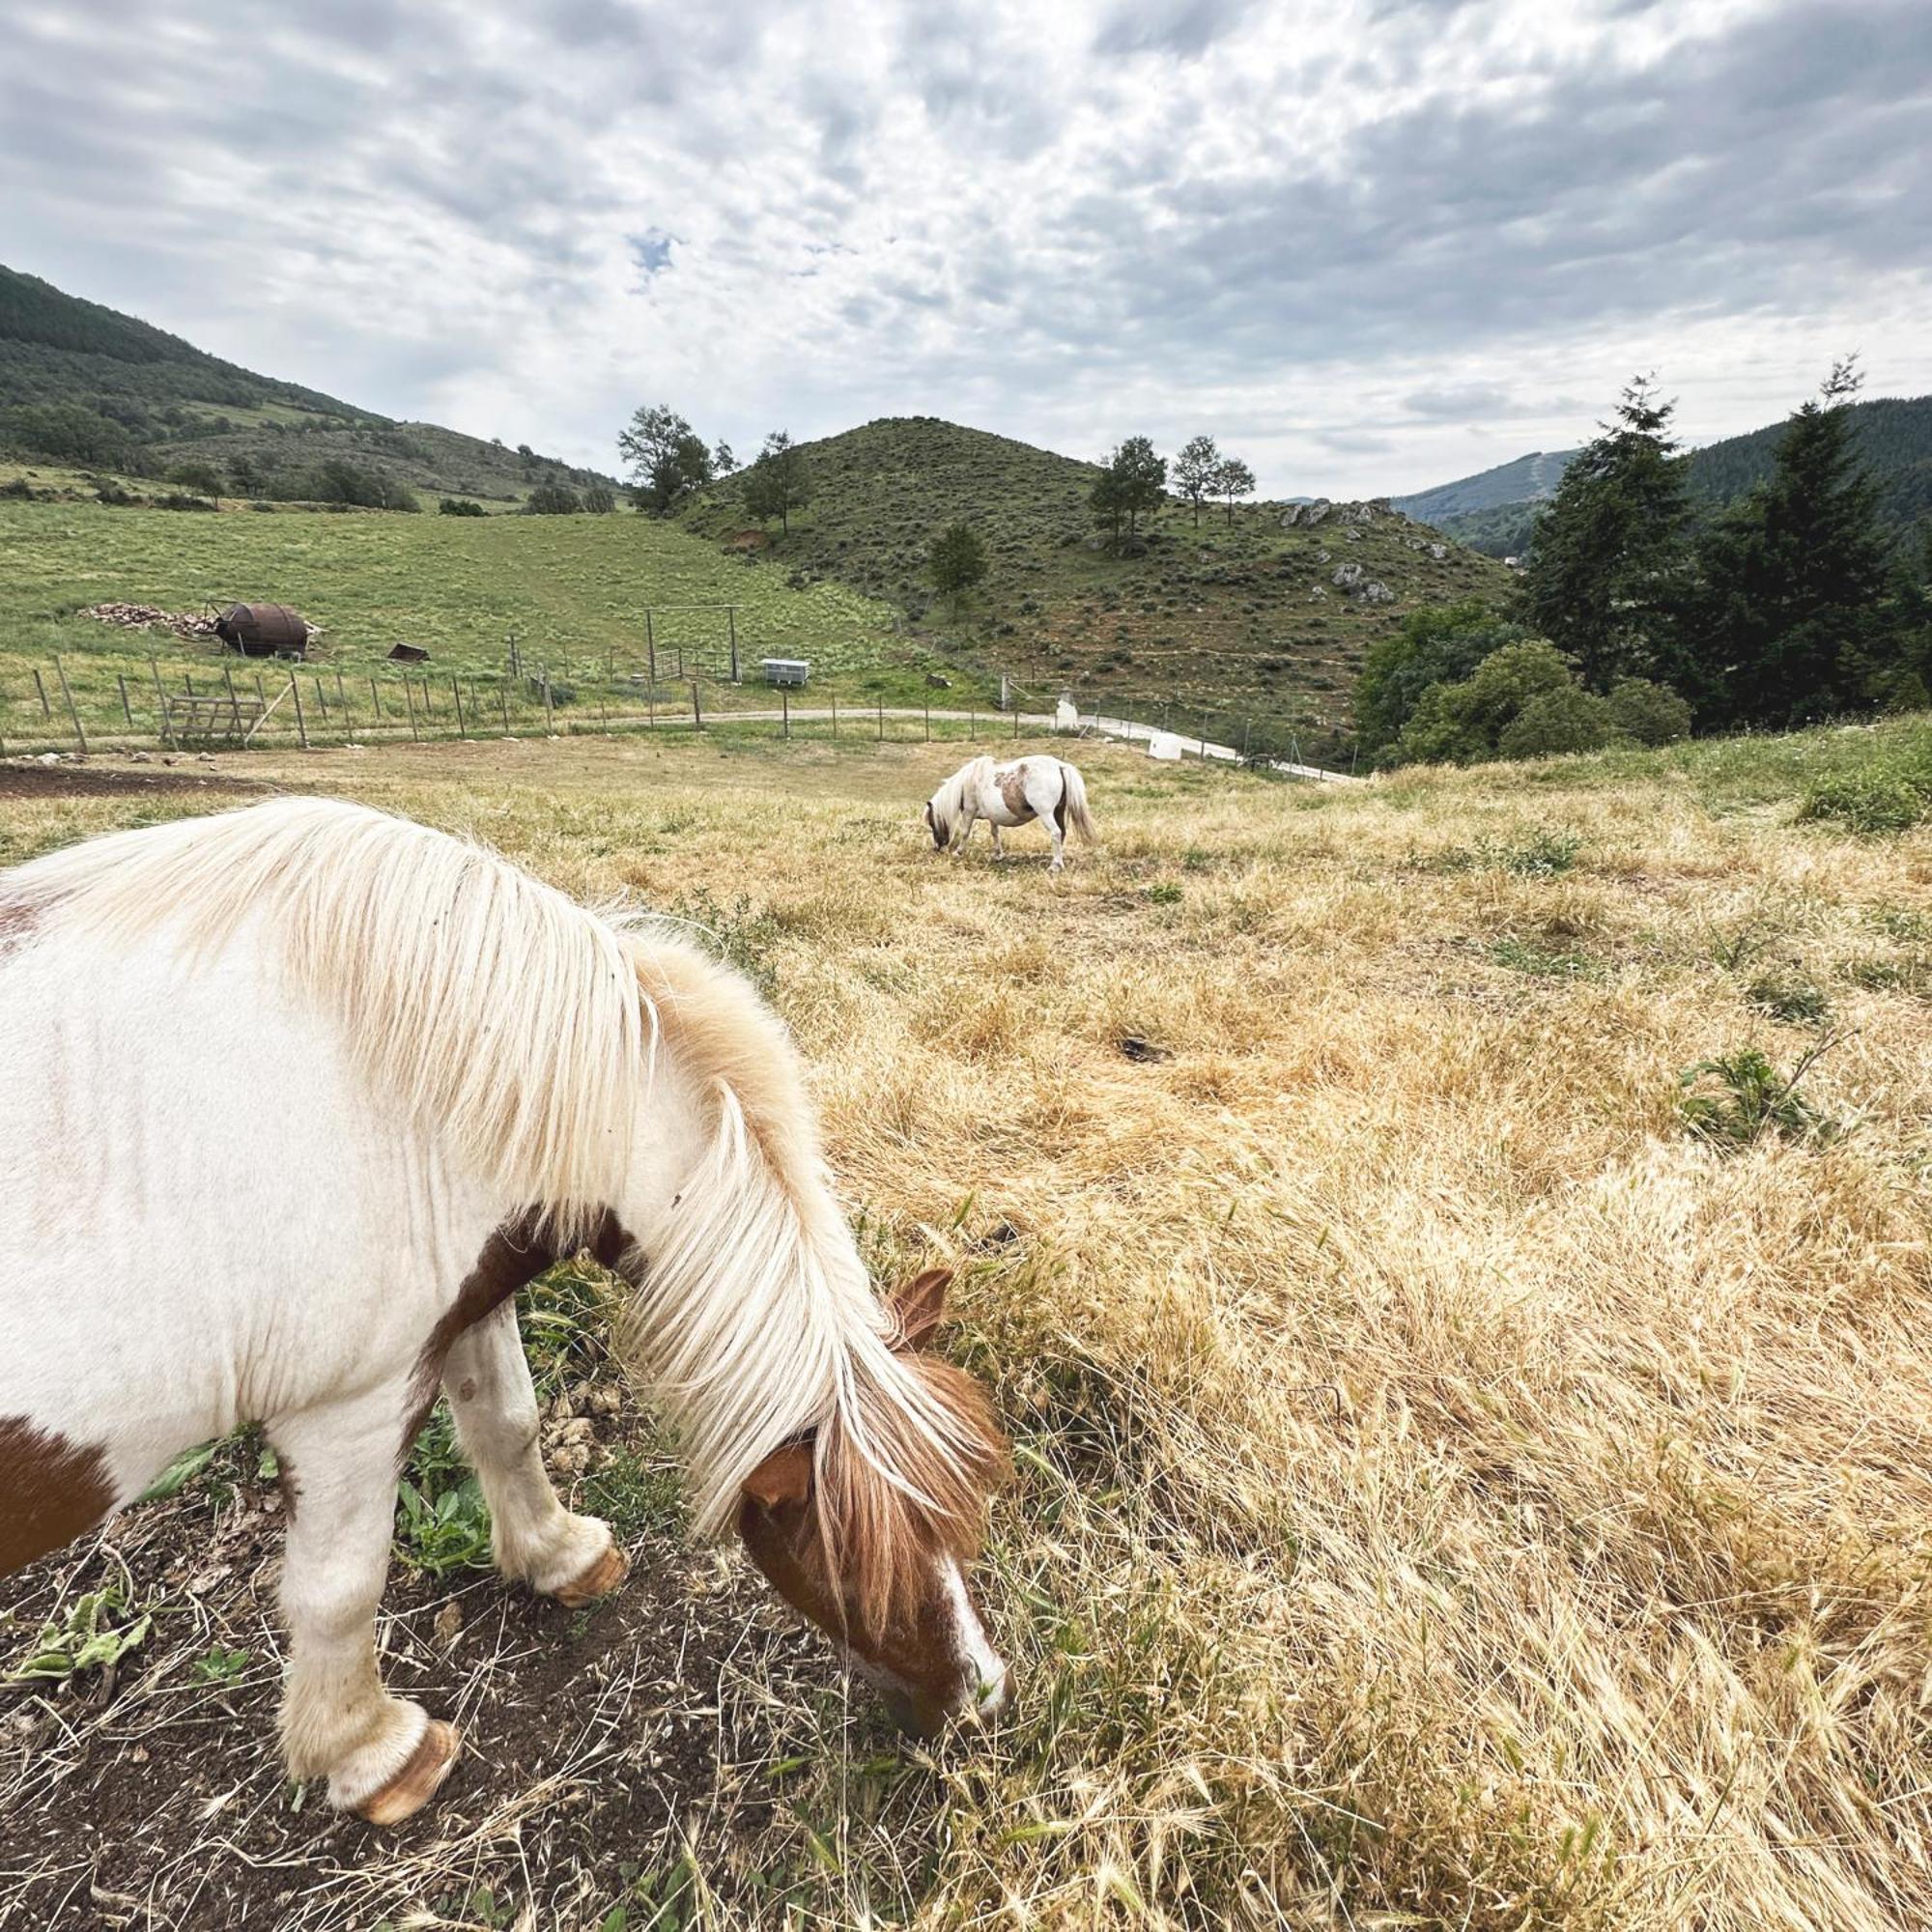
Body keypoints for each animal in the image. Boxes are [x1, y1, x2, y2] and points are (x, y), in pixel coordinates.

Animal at [3, 800, 1012, 1824]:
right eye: (855, 1573)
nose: (982, 1696)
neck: (406, 1075)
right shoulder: (349, 1407)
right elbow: (340, 1587)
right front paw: (373, 1753)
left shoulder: (465, 1301)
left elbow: (509, 1425)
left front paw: (561, 1556)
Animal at [923, 753, 1097, 877]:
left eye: (932, 823)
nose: (937, 848)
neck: (969, 781)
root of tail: (1060, 765)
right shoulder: (992, 817)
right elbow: (995, 833)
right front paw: (998, 855)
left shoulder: (969, 811)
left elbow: (965, 832)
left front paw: (958, 852)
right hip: (1058, 811)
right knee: (1062, 833)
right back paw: (1056, 860)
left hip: (1046, 813)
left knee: (1056, 833)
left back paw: (1055, 866)